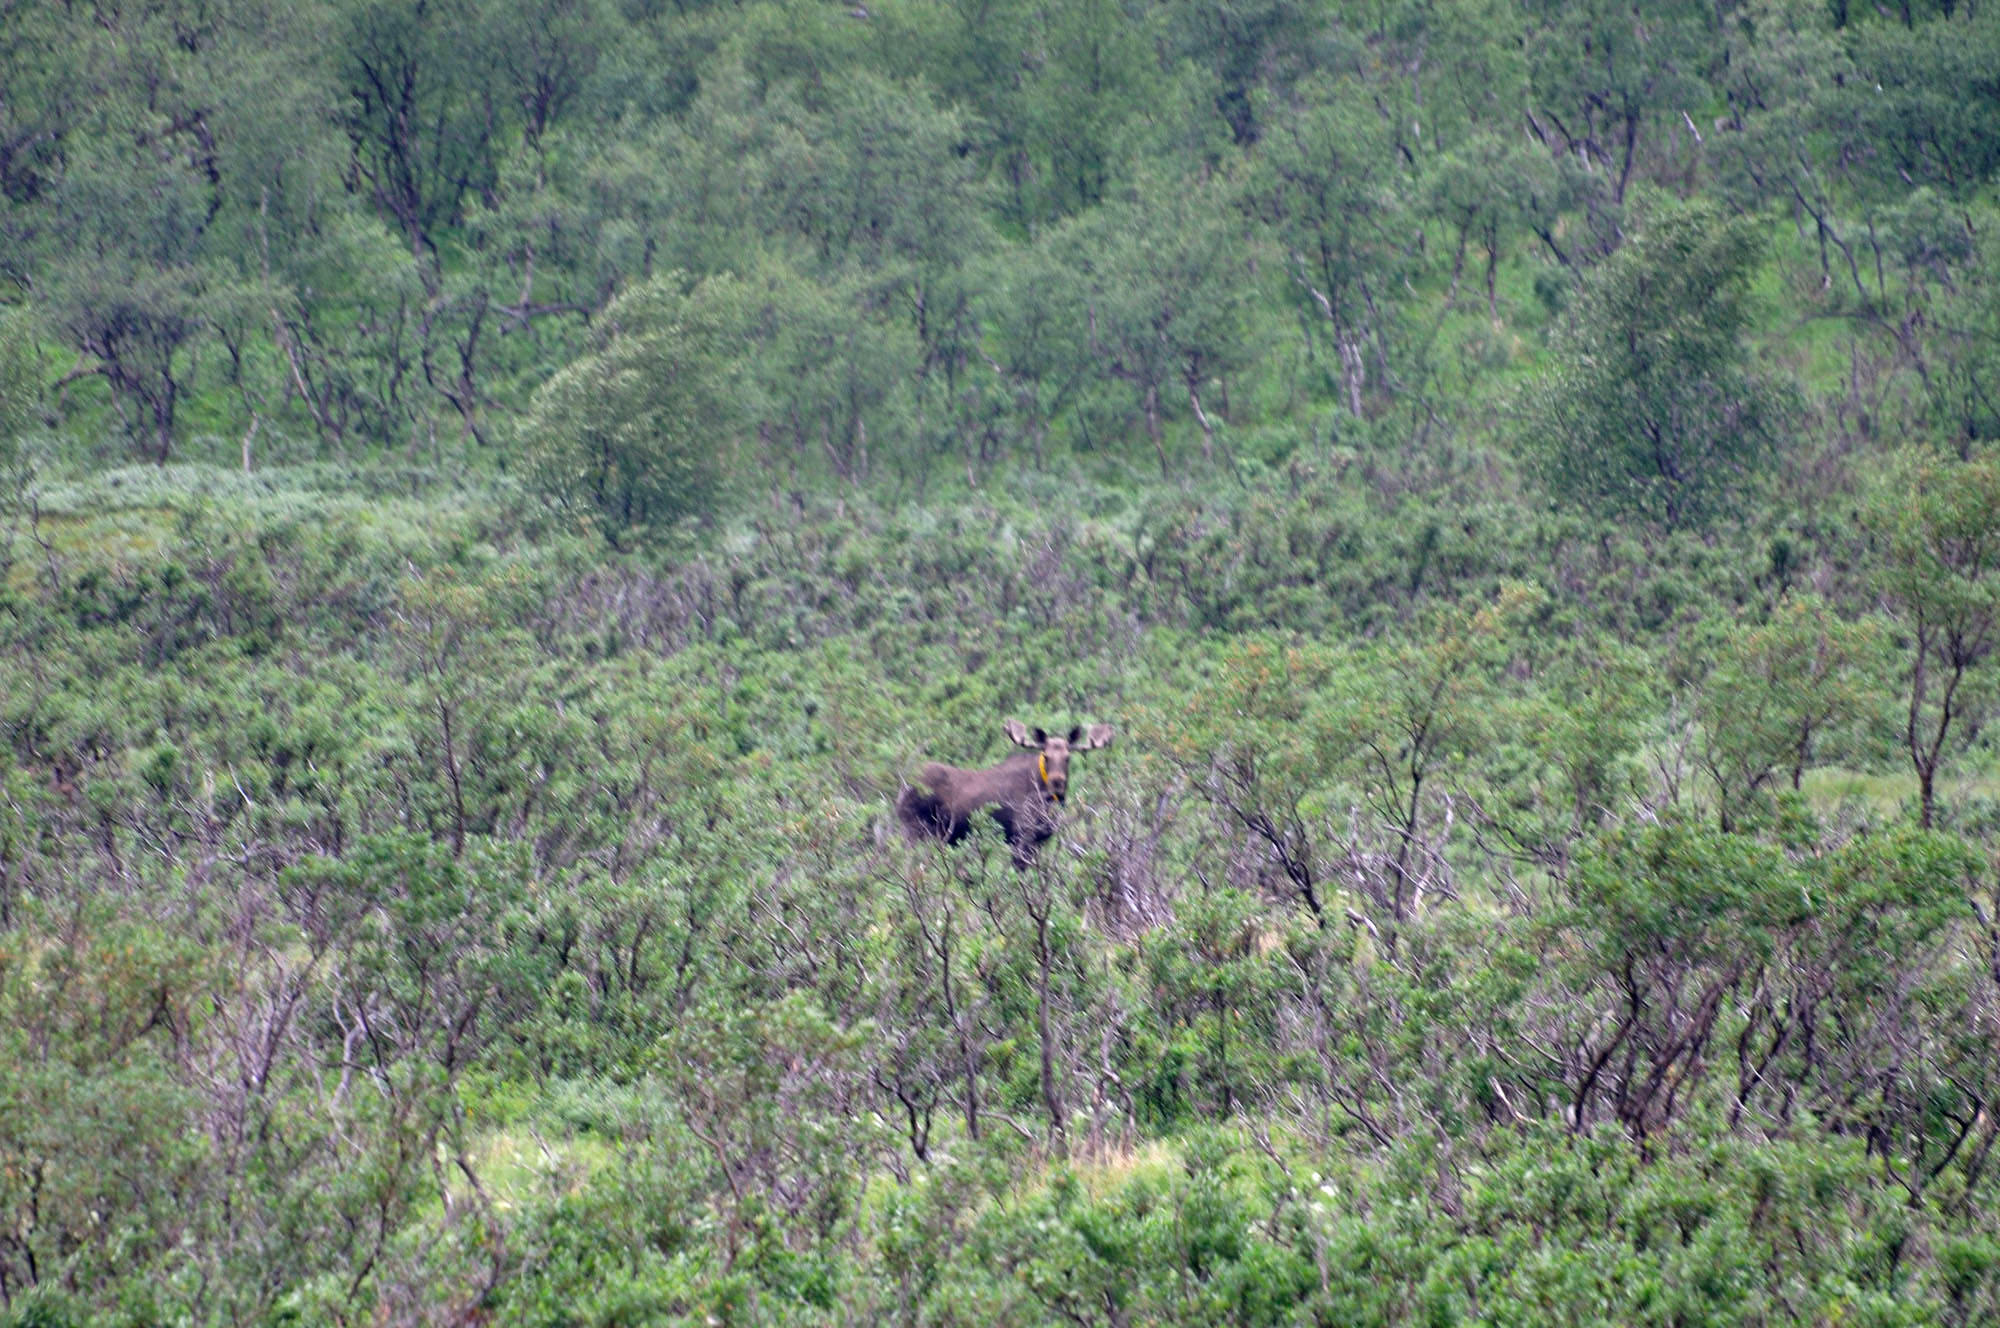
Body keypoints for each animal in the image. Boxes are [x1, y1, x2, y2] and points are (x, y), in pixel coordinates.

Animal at [904, 720, 1120, 868]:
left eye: (1067, 757)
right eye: (1046, 756)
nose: (1057, 783)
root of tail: (905, 785)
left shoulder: (1040, 839)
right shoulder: (1021, 834)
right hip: (915, 831)